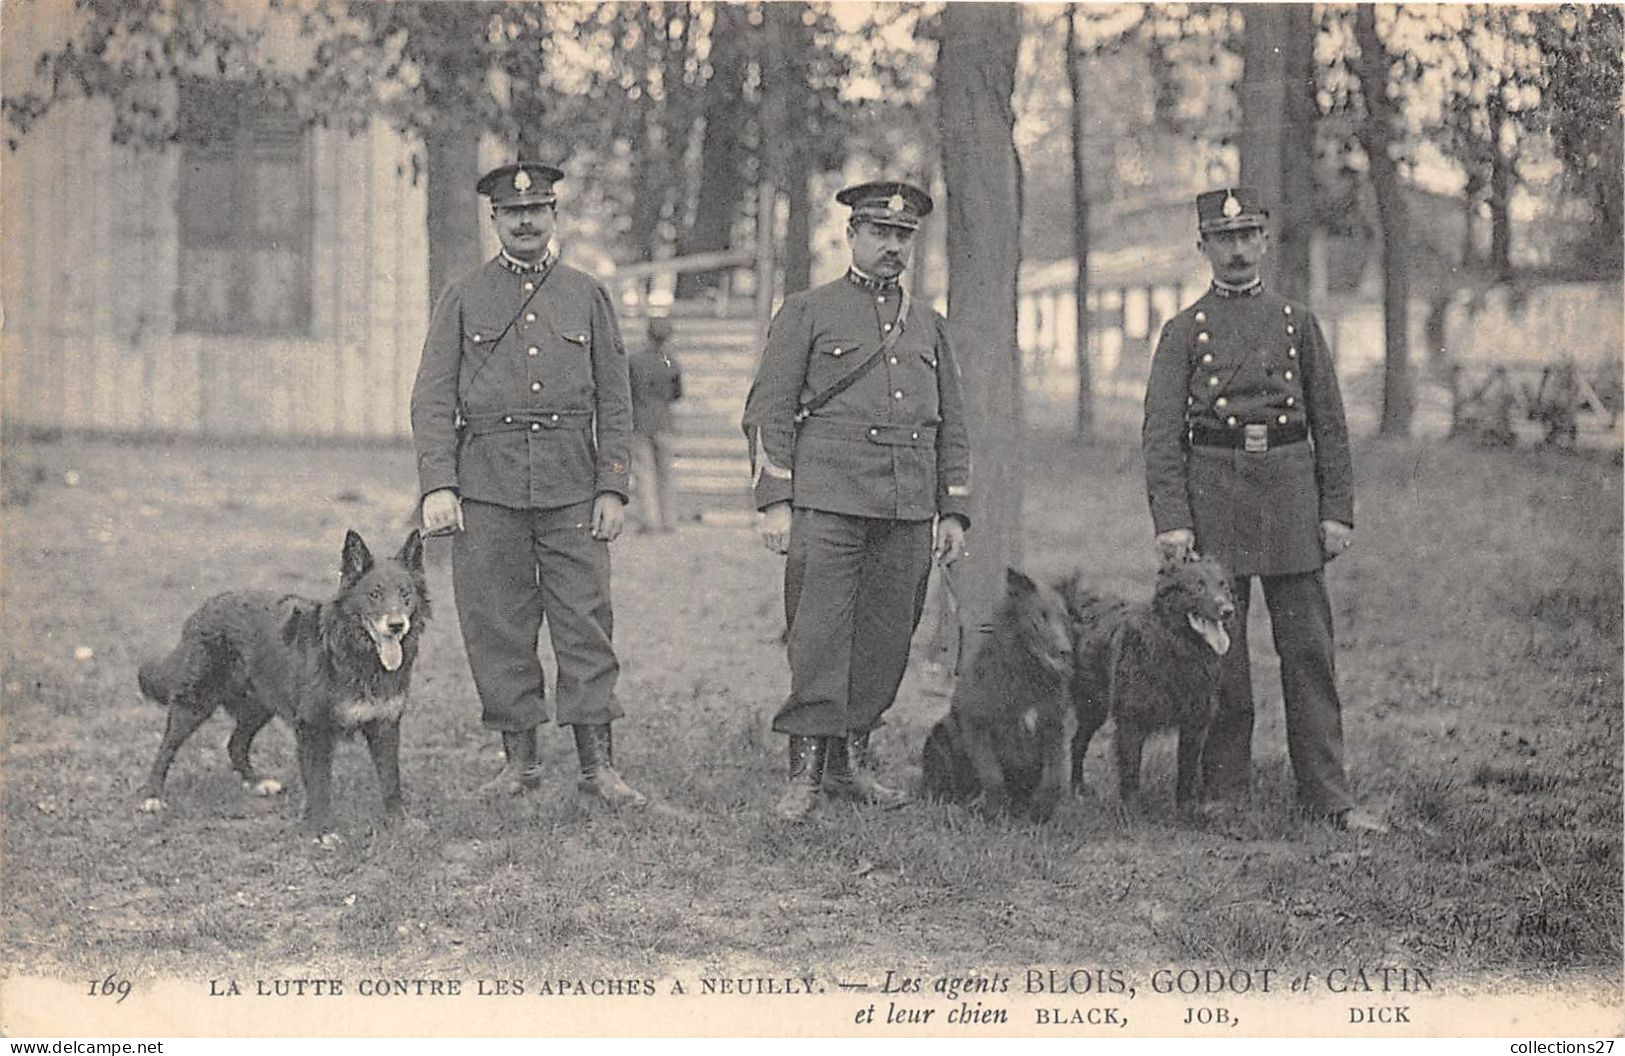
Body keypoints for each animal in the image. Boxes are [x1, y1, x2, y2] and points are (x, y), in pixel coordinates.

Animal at [138, 529, 429, 831]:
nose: (396, 625)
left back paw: (256, 782)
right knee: (167, 746)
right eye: (374, 594)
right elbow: (320, 785)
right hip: (196, 701)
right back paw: (152, 795)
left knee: (235, 744)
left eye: (405, 594)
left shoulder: (385, 725)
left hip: (259, 705)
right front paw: (321, 831)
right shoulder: (313, 729)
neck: (353, 651)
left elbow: (391, 780)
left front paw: (399, 821)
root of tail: (204, 608)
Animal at [929, 568, 1079, 822]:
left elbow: (1054, 776)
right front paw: (993, 812)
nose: (1065, 651)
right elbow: (992, 774)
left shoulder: (1053, 727)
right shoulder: (978, 725)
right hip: (940, 736)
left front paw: (1042, 811)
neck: (1027, 671)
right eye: (1040, 617)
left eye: (1065, 618)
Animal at [1059, 552, 1235, 815]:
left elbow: (1187, 770)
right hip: (1092, 705)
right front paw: (1130, 811)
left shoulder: (1195, 723)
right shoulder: (1131, 720)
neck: (1178, 647)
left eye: (1224, 586)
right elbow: (1131, 770)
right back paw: (1077, 790)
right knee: (1077, 742)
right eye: (1197, 586)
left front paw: (1185, 811)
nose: (1228, 610)